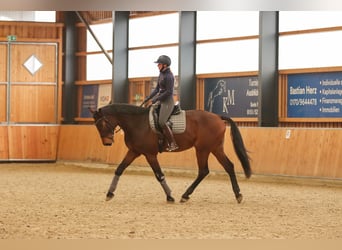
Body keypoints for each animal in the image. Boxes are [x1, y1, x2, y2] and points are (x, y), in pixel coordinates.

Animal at [90, 103, 251, 203]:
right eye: (96, 126)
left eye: (102, 123)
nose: (107, 143)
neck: (137, 123)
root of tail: (218, 117)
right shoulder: (134, 151)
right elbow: (119, 169)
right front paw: (109, 193)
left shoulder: (150, 154)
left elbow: (159, 175)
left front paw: (170, 197)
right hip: (215, 148)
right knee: (228, 166)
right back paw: (238, 195)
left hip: (203, 149)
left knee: (204, 171)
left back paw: (185, 195)